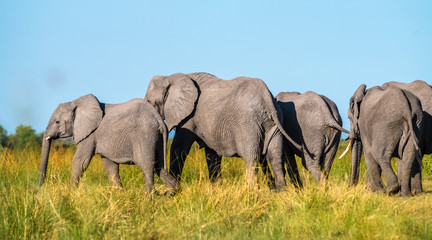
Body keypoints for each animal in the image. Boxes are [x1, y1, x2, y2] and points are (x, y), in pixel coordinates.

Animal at [35, 94, 177, 194]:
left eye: (57, 122)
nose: (36, 192)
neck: (76, 102)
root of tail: (159, 119)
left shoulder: (90, 134)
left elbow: (80, 161)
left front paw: (69, 193)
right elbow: (110, 166)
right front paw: (119, 194)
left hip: (144, 135)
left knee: (147, 165)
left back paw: (149, 197)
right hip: (157, 137)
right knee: (160, 167)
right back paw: (172, 192)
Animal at [143, 72, 302, 190]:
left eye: (151, 102)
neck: (170, 77)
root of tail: (267, 98)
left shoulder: (188, 118)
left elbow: (179, 148)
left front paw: (175, 189)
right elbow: (212, 154)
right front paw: (215, 188)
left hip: (247, 123)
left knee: (251, 157)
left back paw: (252, 191)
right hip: (274, 123)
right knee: (275, 156)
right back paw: (281, 191)